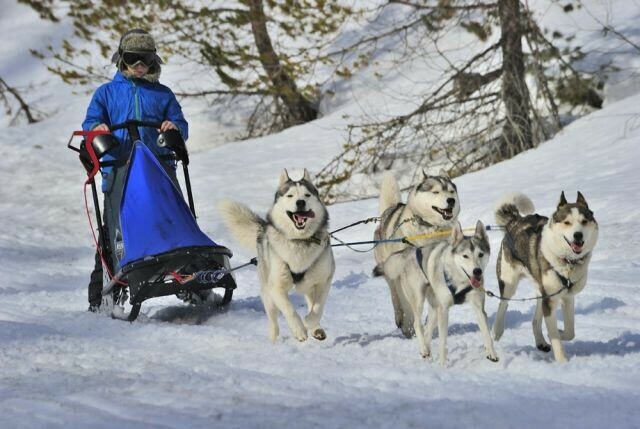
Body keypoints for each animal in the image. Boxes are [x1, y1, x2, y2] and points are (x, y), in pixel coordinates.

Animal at [219, 167, 332, 342]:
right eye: (290, 195)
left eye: (307, 195)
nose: (300, 202)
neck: (299, 240)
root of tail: (263, 228)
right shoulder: (276, 287)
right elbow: (289, 309)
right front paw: (299, 329)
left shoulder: (324, 280)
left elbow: (318, 308)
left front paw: (310, 322)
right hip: (267, 294)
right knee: (273, 320)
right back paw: (273, 340)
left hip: (309, 283)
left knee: (311, 301)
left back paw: (316, 329)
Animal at [376, 170, 460, 334]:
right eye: (436, 192)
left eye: (451, 191)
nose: (451, 200)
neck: (430, 229)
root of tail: (390, 210)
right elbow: (407, 304)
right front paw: (409, 325)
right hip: (390, 272)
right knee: (395, 296)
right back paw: (400, 318)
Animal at [380, 221, 496, 364]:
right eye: (465, 256)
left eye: (481, 254)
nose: (477, 271)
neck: (459, 280)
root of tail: (409, 252)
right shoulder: (444, 310)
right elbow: (442, 342)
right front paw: (443, 364)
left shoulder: (479, 308)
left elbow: (487, 335)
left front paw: (492, 354)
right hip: (419, 301)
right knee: (417, 324)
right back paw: (424, 350)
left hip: (435, 309)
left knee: (427, 330)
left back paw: (426, 352)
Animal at [490, 191, 600, 362]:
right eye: (567, 222)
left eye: (584, 221)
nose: (578, 235)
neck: (567, 262)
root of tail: (515, 221)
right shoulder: (550, 300)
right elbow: (555, 337)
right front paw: (563, 362)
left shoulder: (566, 297)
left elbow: (570, 332)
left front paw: (559, 333)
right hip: (509, 283)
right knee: (503, 304)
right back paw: (497, 331)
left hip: (540, 291)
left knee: (535, 321)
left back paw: (541, 341)